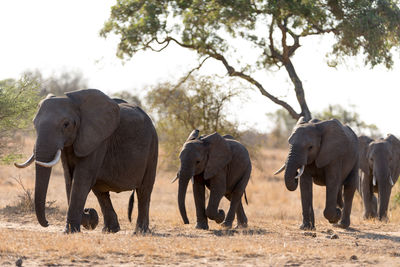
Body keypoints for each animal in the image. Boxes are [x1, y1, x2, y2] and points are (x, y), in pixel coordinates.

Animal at [14, 89, 158, 233]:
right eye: (34, 124)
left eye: (66, 124)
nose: (48, 223)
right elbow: (69, 178)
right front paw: (81, 224)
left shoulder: (98, 140)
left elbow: (81, 178)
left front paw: (71, 231)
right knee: (101, 193)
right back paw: (110, 230)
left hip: (152, 147)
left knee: (144, 192)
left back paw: (140, 232)